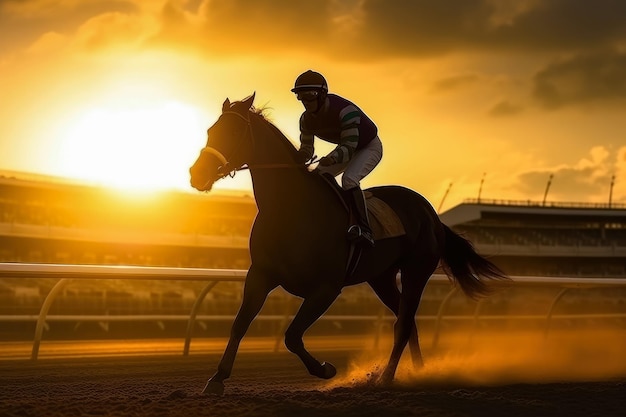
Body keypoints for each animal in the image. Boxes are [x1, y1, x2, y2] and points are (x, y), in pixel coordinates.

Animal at [186, 92, 508, 394]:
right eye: (210, 130)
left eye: (233, 132)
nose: (197, 174)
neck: (290, 209)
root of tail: (431, 213)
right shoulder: (261, 275)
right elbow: (240, 324)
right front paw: (216, 379)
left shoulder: (326, 288)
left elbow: (292, 335)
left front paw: (325, 369)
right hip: (382, 278)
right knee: (408, 322)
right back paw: (418, 372)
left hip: (416, 271)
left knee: (403, 323)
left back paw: (387, 377)